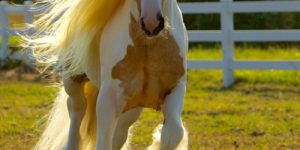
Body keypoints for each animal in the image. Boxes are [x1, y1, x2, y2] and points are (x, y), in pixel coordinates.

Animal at [29, 0, 188, 149]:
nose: (151, 22)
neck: (147, 45)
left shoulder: (175, 89)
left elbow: (173, 134)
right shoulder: (108, 98)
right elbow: (103, 143)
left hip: (131, 108)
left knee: (119, 134)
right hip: (72, 79)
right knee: (76, 107)